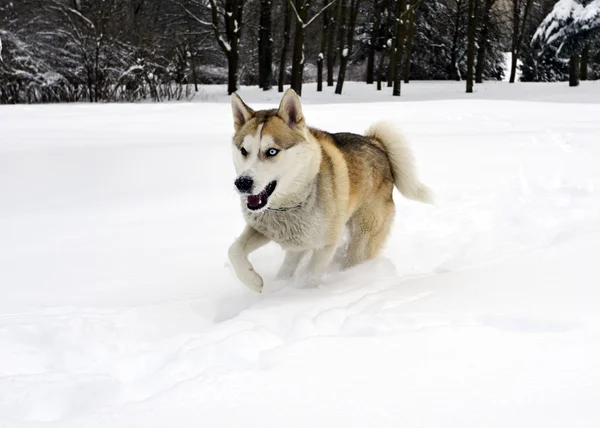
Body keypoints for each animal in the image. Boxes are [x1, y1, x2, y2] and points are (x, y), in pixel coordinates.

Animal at [229, 88, 432, 292]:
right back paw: (281, 281)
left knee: (355, 258)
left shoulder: (326, 244)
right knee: (290, 262)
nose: (242, 183)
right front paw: (252, 281)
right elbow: (234, 250)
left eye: (271, 151)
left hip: (363, 237)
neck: (290, 203)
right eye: (244, 151)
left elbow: (311, 276)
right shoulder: (263, 229)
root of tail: (377, 144)